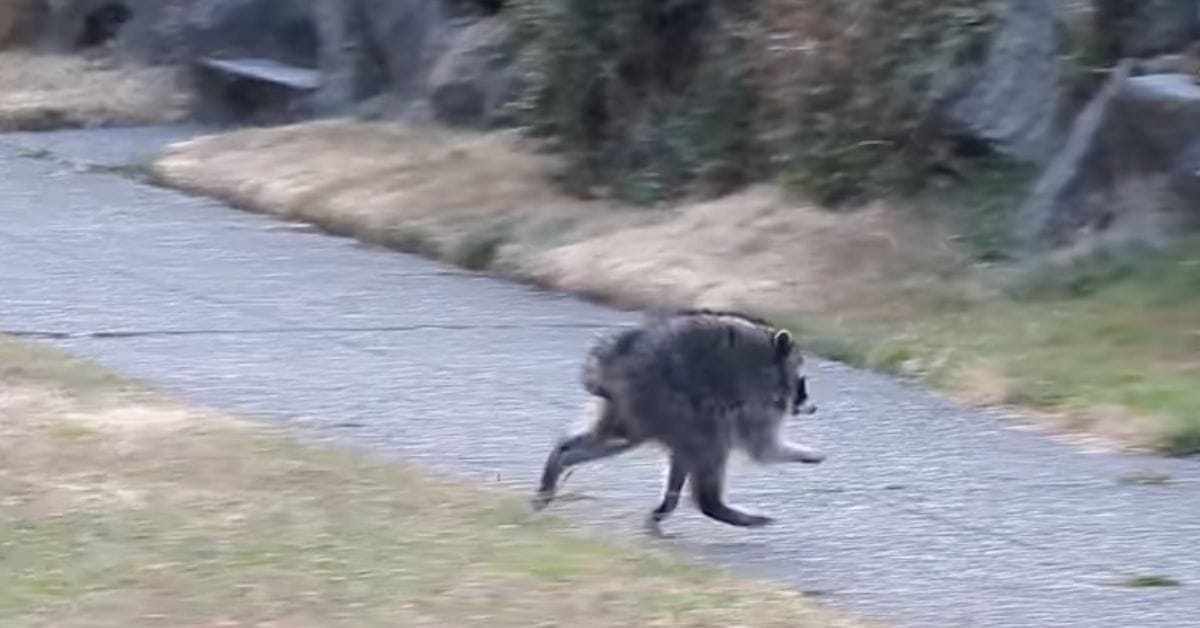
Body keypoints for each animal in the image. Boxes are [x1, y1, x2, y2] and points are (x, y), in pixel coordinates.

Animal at [531, 308, 822, 534]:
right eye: (802, 383)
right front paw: (801, 452)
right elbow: (762, 448)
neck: (769, 357)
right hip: (668, 402)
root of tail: (612, 360)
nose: (813, 407)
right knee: (711, 447)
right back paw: (713, 506)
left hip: (636, 410)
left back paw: (561, 461)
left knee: (620, 441)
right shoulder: (756, 400)